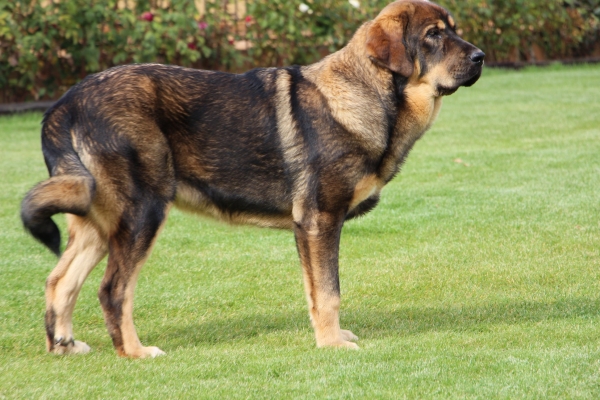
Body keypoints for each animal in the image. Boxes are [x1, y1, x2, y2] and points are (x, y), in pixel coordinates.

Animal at [21, 0, 486, 356]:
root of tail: (67, 103)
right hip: (141, 214)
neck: (369, 93)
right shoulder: (320, 219)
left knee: (60, 281)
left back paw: (64, 346)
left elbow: (316, 291)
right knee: (112, 290)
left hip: (98, 220)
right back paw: (134, 352)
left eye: (454, 32)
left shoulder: (309, 228)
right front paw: (332, 344)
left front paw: (328, 336)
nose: (480, 56)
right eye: (433, 35)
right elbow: (329, 291)